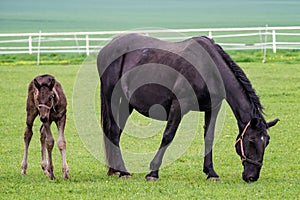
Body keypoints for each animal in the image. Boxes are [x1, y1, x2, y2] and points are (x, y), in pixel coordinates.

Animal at [98, 33, 278, 182]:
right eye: (251, 141)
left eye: (267, 141)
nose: (252, 177)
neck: (209, 69)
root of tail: (107, 47)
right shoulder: (179, 105)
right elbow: (168, 136)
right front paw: (153, 172)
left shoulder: (213, 108)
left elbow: (209, 137)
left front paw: (211, 172)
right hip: (111, 97)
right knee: (113, 131)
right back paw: (124, 171)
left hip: (127, 103)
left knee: (116, 133)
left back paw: (117, 170)